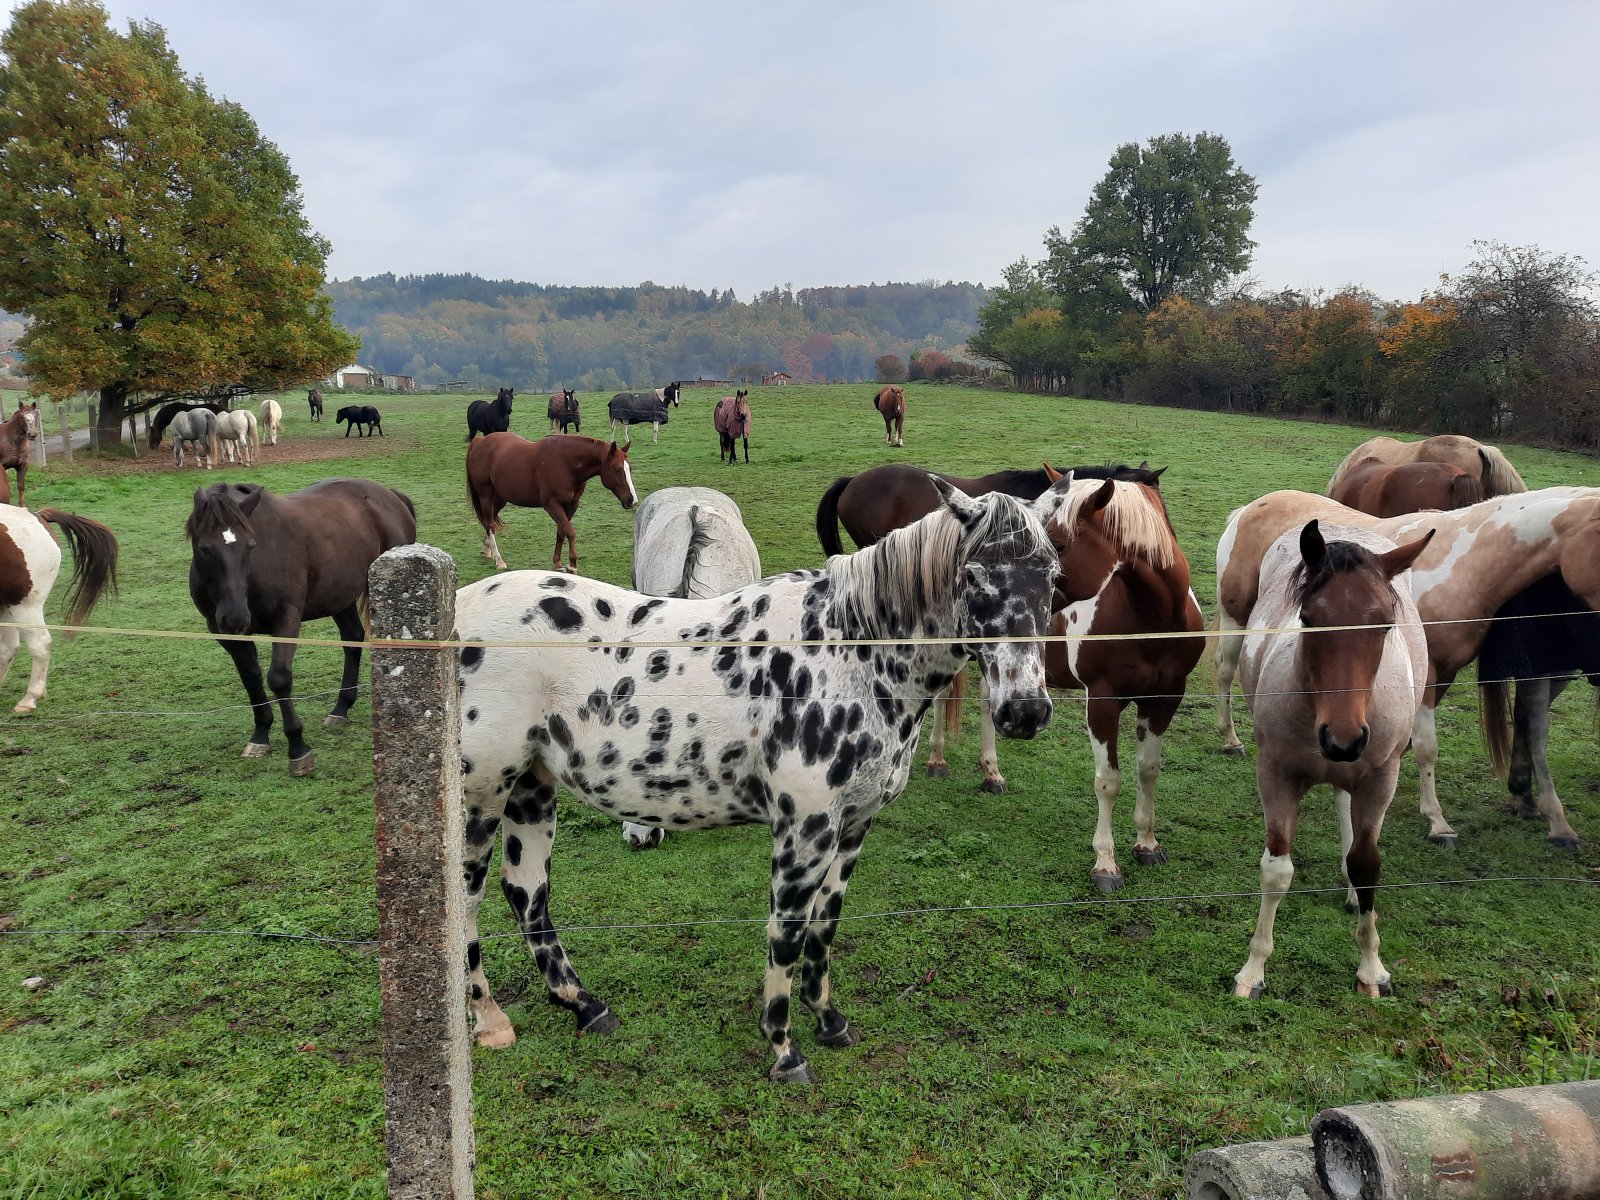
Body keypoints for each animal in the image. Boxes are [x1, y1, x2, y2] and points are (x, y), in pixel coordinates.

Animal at [186, 479, 416, 776]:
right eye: (204, 548)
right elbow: (250, 679)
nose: (235, 617)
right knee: (352, 639)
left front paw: (298, 747)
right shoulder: (224, 632)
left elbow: (279, 679)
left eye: (251, 546)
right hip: (339, 597)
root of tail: (390, 495)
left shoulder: (286, 620)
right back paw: (341, 708)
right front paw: (260, 734)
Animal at [465, 433, 638, 572]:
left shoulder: (571, 505)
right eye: (617, 469)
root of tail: (480, 441)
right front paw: (572, 565)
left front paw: (558, 563)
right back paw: (498, 559)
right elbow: (570, 531)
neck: (566, 464)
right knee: (489, 524)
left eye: (629, 469)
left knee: (490, 521)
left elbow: (561, 531)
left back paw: (486, 550)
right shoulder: (551, 505)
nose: (632, 500)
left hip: (500, 498)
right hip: (486, 495)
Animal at [929, 467, 1207, 889]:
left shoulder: (1165, 699)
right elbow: (1108, 781)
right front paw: (1105, 863)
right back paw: (937, 759)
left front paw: (1147, 843)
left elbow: (1148, 771)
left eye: (1056, 546)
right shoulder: (1103, 701)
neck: (1153, 618)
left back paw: (992, 773)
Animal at [1215, 487, 1600, 847]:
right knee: (1224, 671)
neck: (1462, 563)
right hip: (1236, 619)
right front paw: (1437, 822)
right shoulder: (1429, 677)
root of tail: (1251, 508)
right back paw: (1231, 740)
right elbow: (1429, 747)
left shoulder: (1439, 674)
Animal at [1233, 520, 1432, 1000]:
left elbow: (1367, 864)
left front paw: (1372, 970)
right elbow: (1276, 870)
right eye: (1308, 618)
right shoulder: (1276, 776)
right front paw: (1253, 970)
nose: (1343, 739)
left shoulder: (1380, 779)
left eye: (1384, 623)